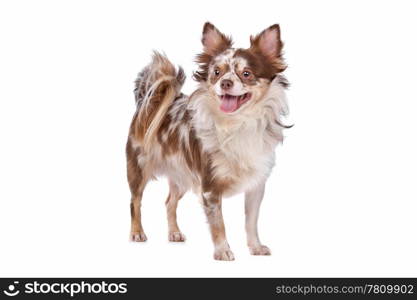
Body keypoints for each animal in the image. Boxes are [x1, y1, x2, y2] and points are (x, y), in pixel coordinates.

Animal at [126, 22, 290, 260]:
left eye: (246, 74)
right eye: (216, 73)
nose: (226, 82)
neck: (238, 124)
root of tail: (149, 103)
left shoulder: (256, 187)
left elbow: (251, 222)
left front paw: (255, 247)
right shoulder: (210, 188)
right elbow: (218, 224)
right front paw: (223, 251)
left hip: (181, 176)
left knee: (169, 202)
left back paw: (174, 233)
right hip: (139, 169)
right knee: (135, 202)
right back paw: (137, 232)